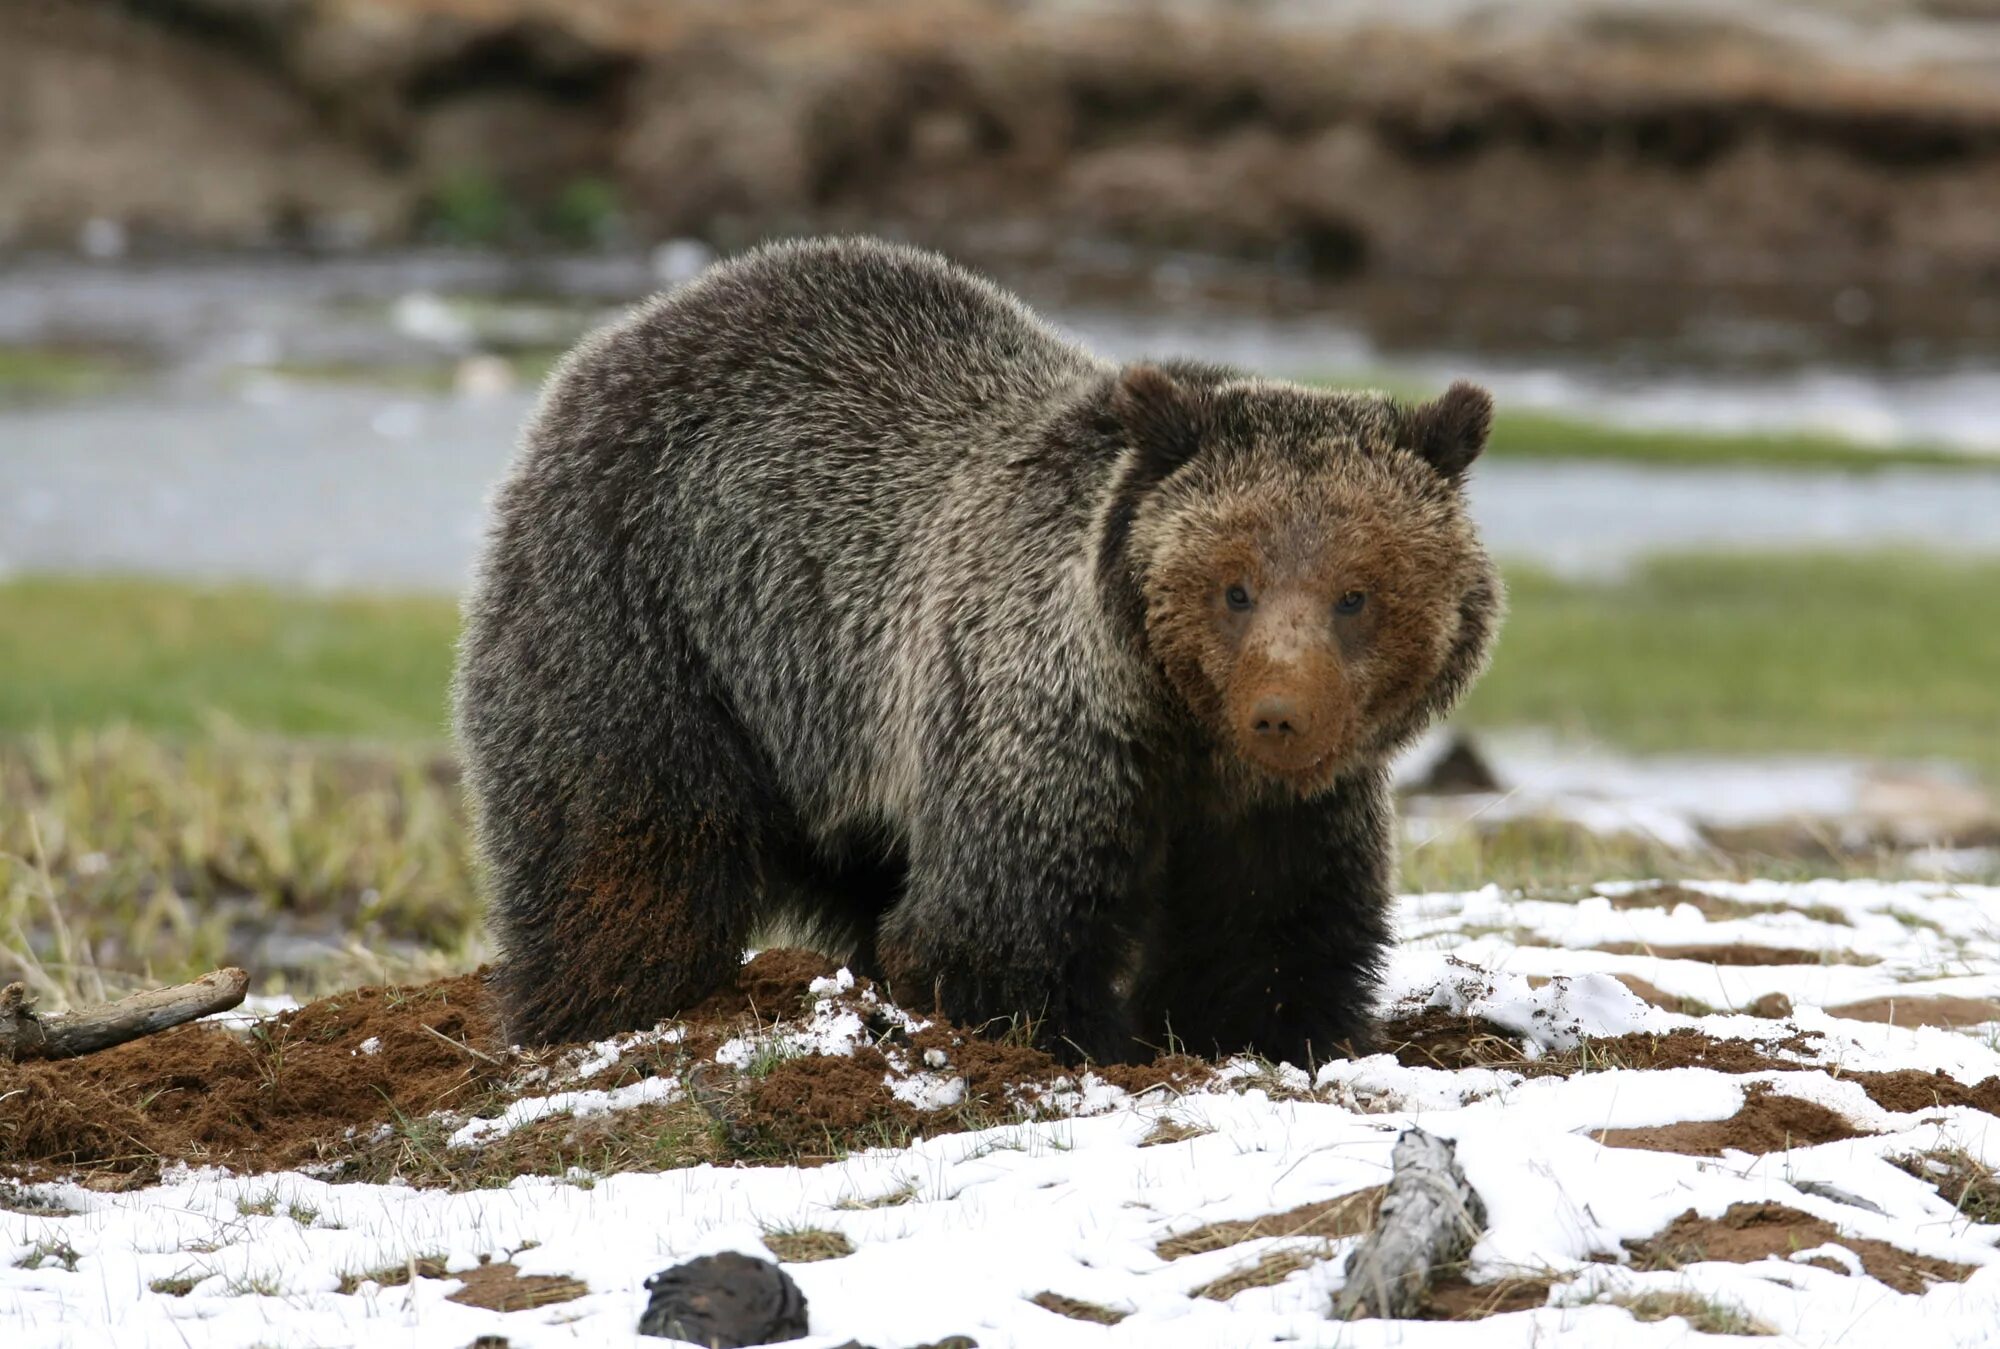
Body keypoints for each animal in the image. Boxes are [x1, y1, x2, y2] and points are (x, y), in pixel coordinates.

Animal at [454, 234, 1504, 1064]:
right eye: (1234, 586)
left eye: (1355, 594)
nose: (1280, 713)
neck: (1183, 733)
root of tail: (624, 333)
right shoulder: (1042, 728)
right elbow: (995, 930)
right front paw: (1081, 1040)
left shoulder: (1283, 813)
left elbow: (1269, 941)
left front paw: (1269, 1033)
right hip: (646, 616)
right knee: (623, 849)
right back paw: (597, 1010)